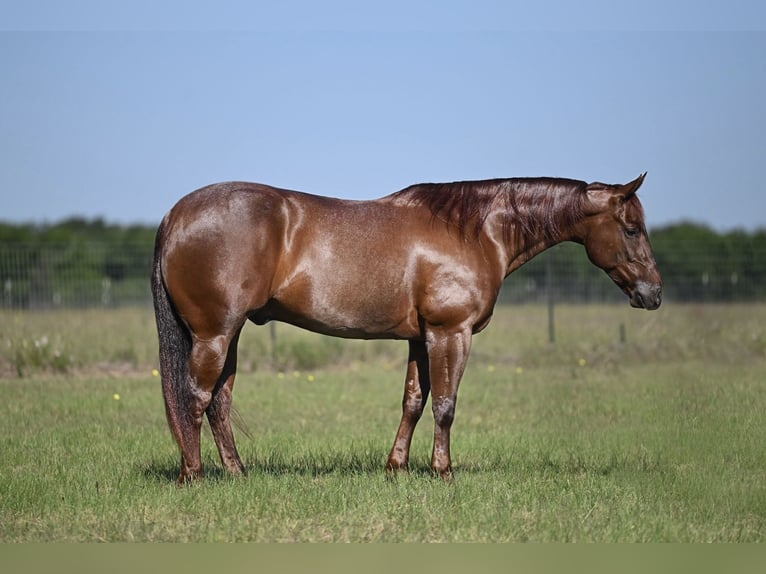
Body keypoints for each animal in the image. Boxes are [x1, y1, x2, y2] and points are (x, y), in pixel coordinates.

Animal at [151, 173, 662, 483]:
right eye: (631, 228)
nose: (653, 294)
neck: (477, 231)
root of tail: (175, 215)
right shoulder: (450, 332)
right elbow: (446, 405)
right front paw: (443, 471)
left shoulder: (420, 337)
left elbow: (414, 402)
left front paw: (396, 468)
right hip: (215, 334)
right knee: (196, 398)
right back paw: (193, 476)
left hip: (230, 334)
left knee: (219, 401)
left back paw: (237, 473)